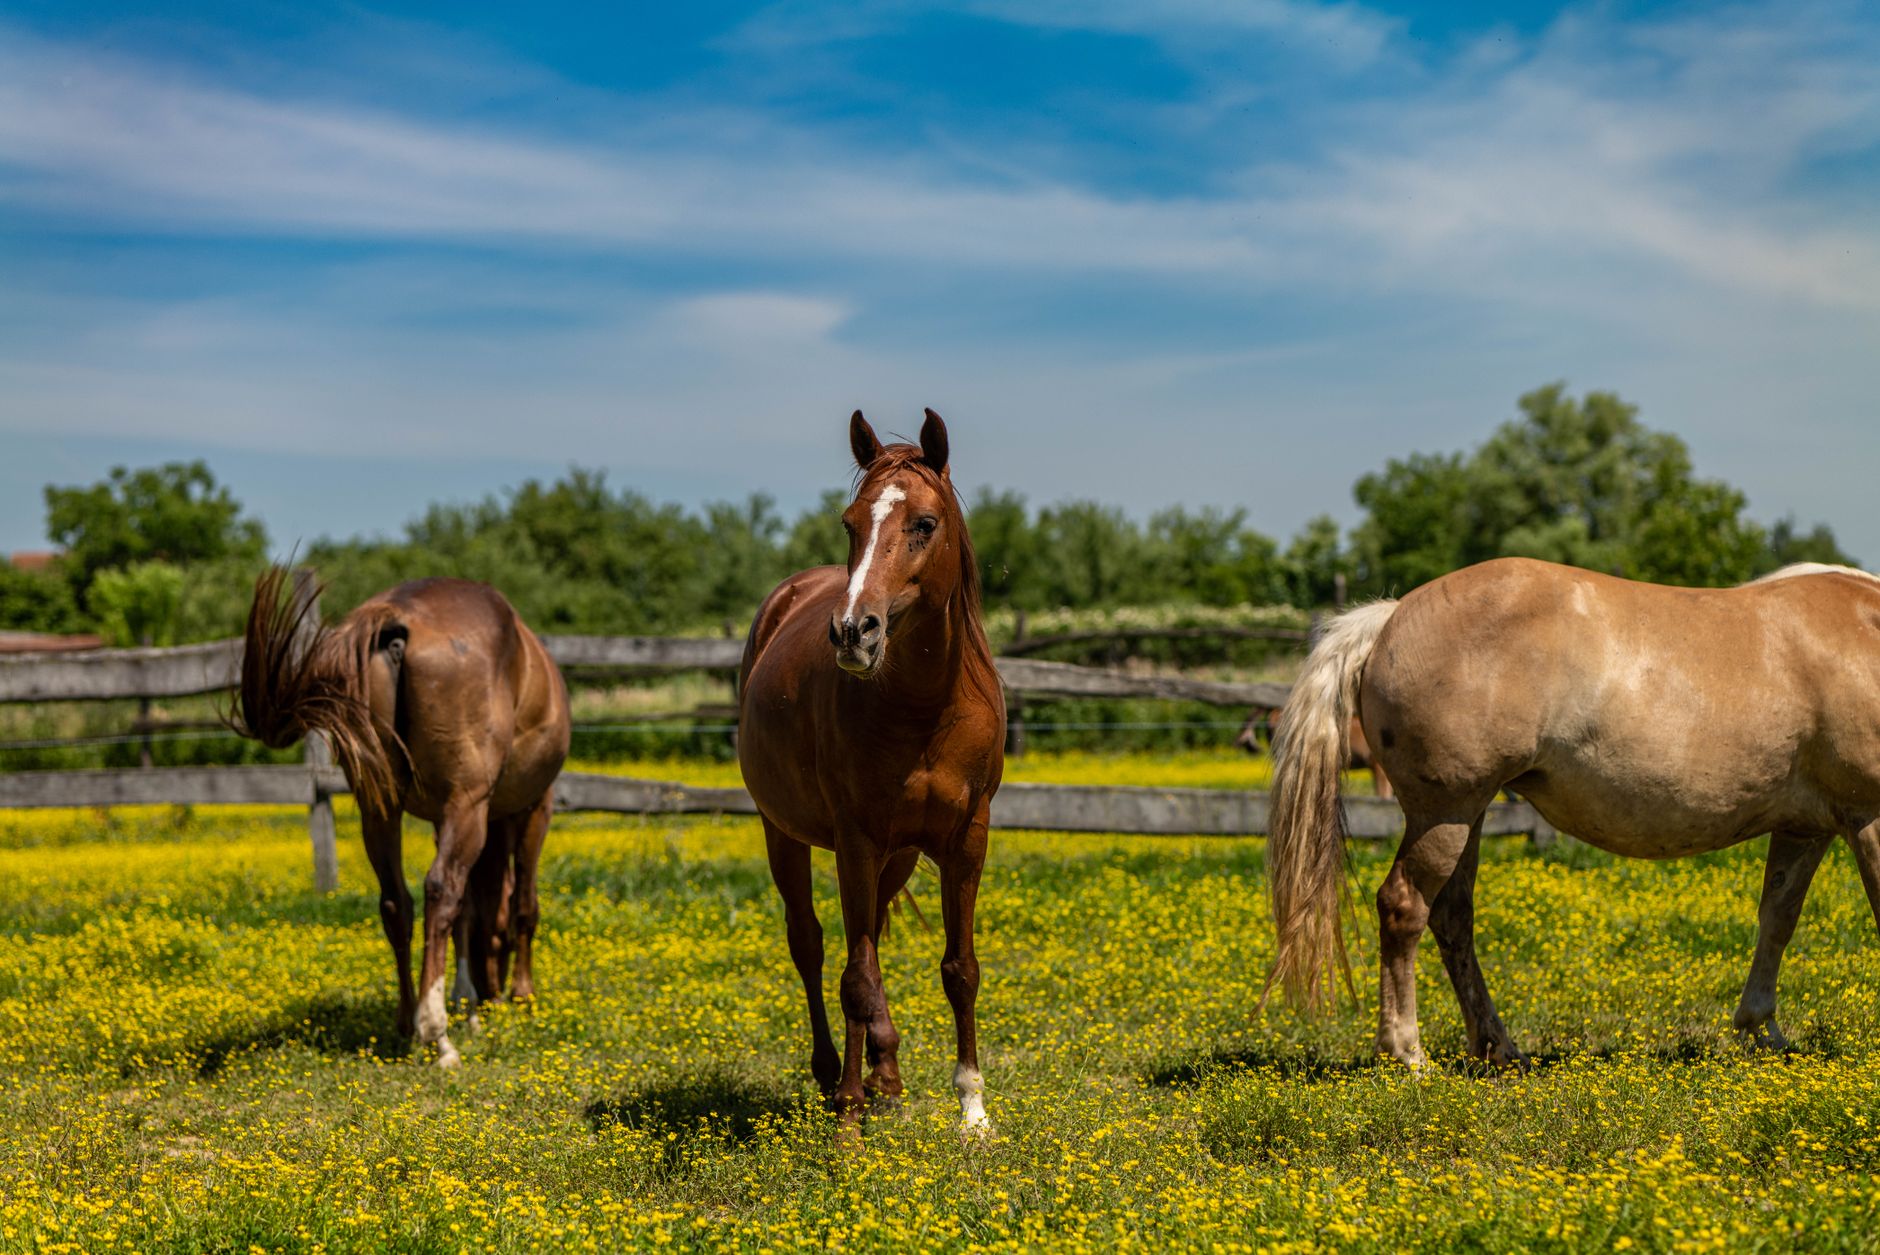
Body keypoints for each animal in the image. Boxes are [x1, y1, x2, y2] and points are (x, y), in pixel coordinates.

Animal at [235, 571, 571, 1067]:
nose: (492, 992)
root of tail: (395, 619)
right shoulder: (530, 808)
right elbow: (521, 906)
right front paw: (518, 997)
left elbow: (472, 912)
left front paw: (471, 1001)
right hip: (466, 805)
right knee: (440, 890)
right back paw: (436, 1034)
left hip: (380, 809)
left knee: (397, 902)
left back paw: (408, 1023)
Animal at [738, 409, 1005, 1134]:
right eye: (850, 522)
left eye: (924, 523)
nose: (854, 631)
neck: (925, 706)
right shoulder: (854, 841)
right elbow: (853, 976)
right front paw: (850, 1120)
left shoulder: (966, 840)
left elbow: (960, 968)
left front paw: (973, 1110)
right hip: (785, 834)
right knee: (812, 945)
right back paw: (836, 1073)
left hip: (900, 854)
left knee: (872, 942)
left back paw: (886, 1071)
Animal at [1265, 557, 1880, 1068]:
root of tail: (1391, 616)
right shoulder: (1866, 818)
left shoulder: (1805, 828)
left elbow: (1777, 918)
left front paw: (1760, 1029)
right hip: (1447, 811)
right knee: (1404, 909)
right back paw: (1408, 1054)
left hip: (1468, 815)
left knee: (1452, 918)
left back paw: (1498, 1048)